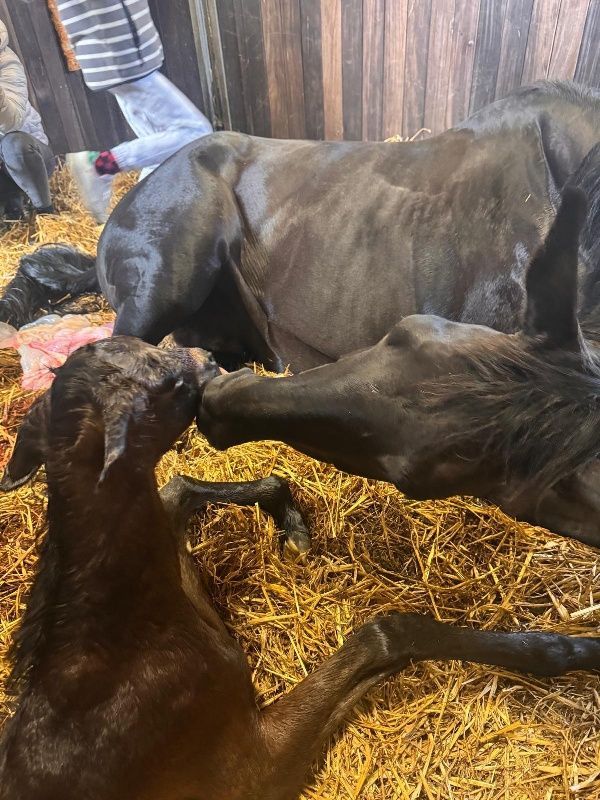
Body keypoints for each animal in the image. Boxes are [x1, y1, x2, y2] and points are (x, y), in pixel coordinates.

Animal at [1, 336, 599, 800]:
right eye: (163, 384)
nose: (214, 367)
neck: (124, 636)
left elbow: (179, 487)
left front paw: (289, 519)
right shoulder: (250, 767)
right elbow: (385, 635)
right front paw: (567, 649)